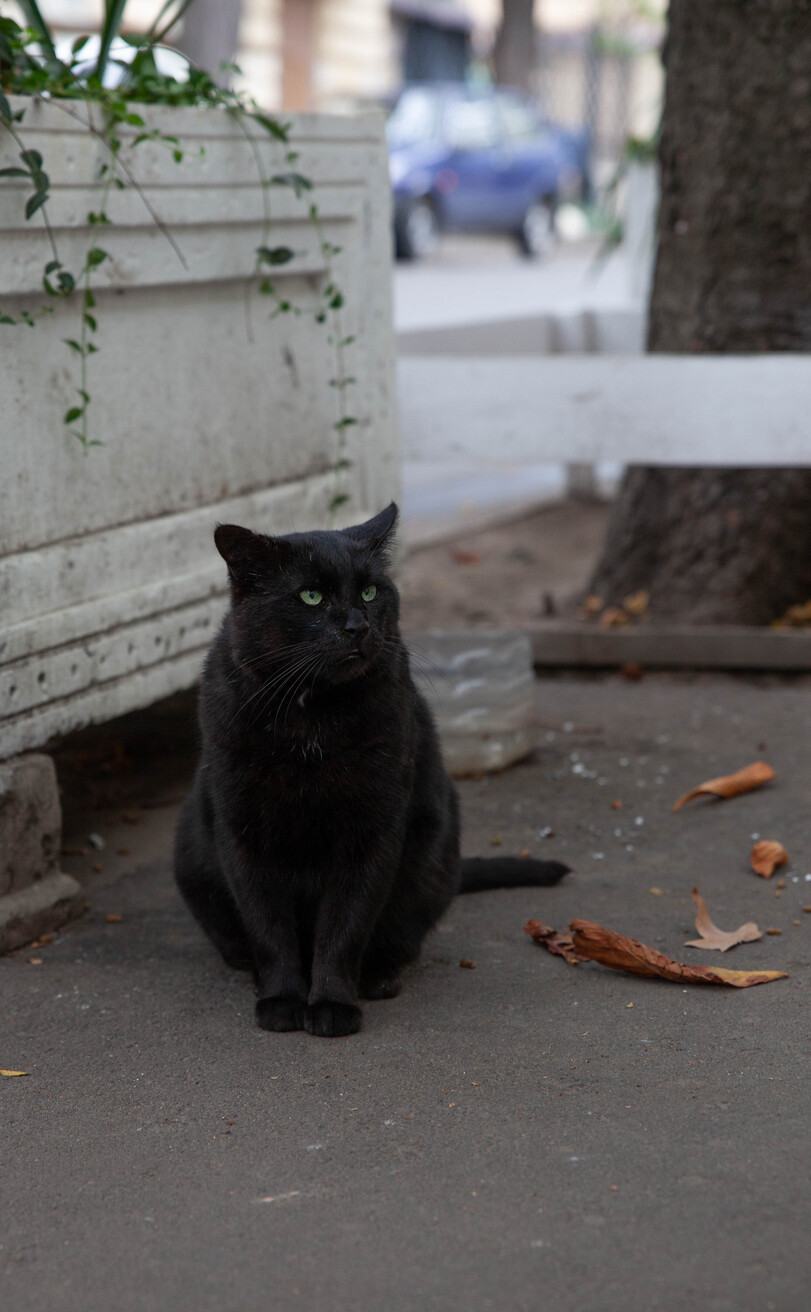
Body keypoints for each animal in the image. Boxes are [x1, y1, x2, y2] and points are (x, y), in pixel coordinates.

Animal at [173, 506, 564, 1039]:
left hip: (429, 861)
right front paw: (281, 1001)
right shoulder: (242, 834)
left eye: (370, 592)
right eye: (311, 596)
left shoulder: (373, 832)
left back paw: (378, 979)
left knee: (396, 937)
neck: (311, 717)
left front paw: (332, 1006)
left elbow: (345, 925)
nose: (357, 625)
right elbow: (268, 927)